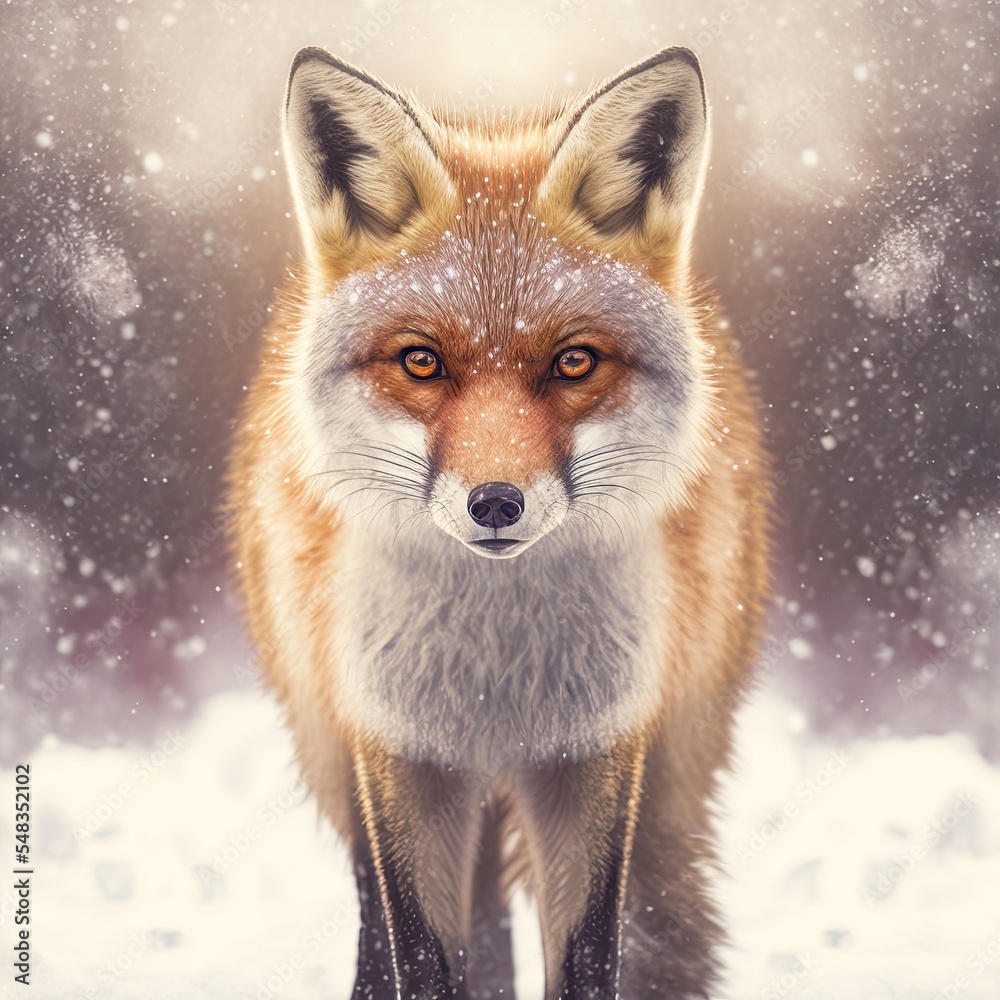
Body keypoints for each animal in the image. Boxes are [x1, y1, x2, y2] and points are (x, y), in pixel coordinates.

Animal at [229, 44, 769, 1000]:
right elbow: (417, 956)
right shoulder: (399, 754)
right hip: (335, 747)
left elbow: (591, 957)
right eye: (421, 362)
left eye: (574, 362)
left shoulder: (595, 753)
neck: (496, 674)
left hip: (675, 765)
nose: (495, 503)